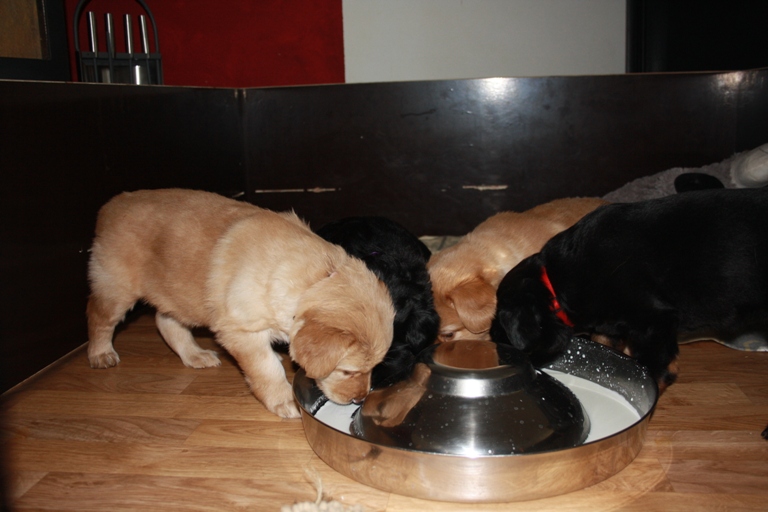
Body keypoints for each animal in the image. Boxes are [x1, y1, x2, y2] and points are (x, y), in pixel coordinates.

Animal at [86, 189, 394, 418]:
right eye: (348, 371)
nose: (359, 399)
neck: (317, 278)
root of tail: (112, 204)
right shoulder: (242, 331)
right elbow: (267, 368)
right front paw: (283, 400)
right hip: (116, 287)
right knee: (98, 317)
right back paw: (100, 354)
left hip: (178, 294)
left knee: (165, 322)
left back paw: (195, 355)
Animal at [490, 188, 768, 393]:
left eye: (502, 320)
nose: (491, 338)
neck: (557, 279)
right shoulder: (610, 324)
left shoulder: (655, 321)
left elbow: (656, 371)